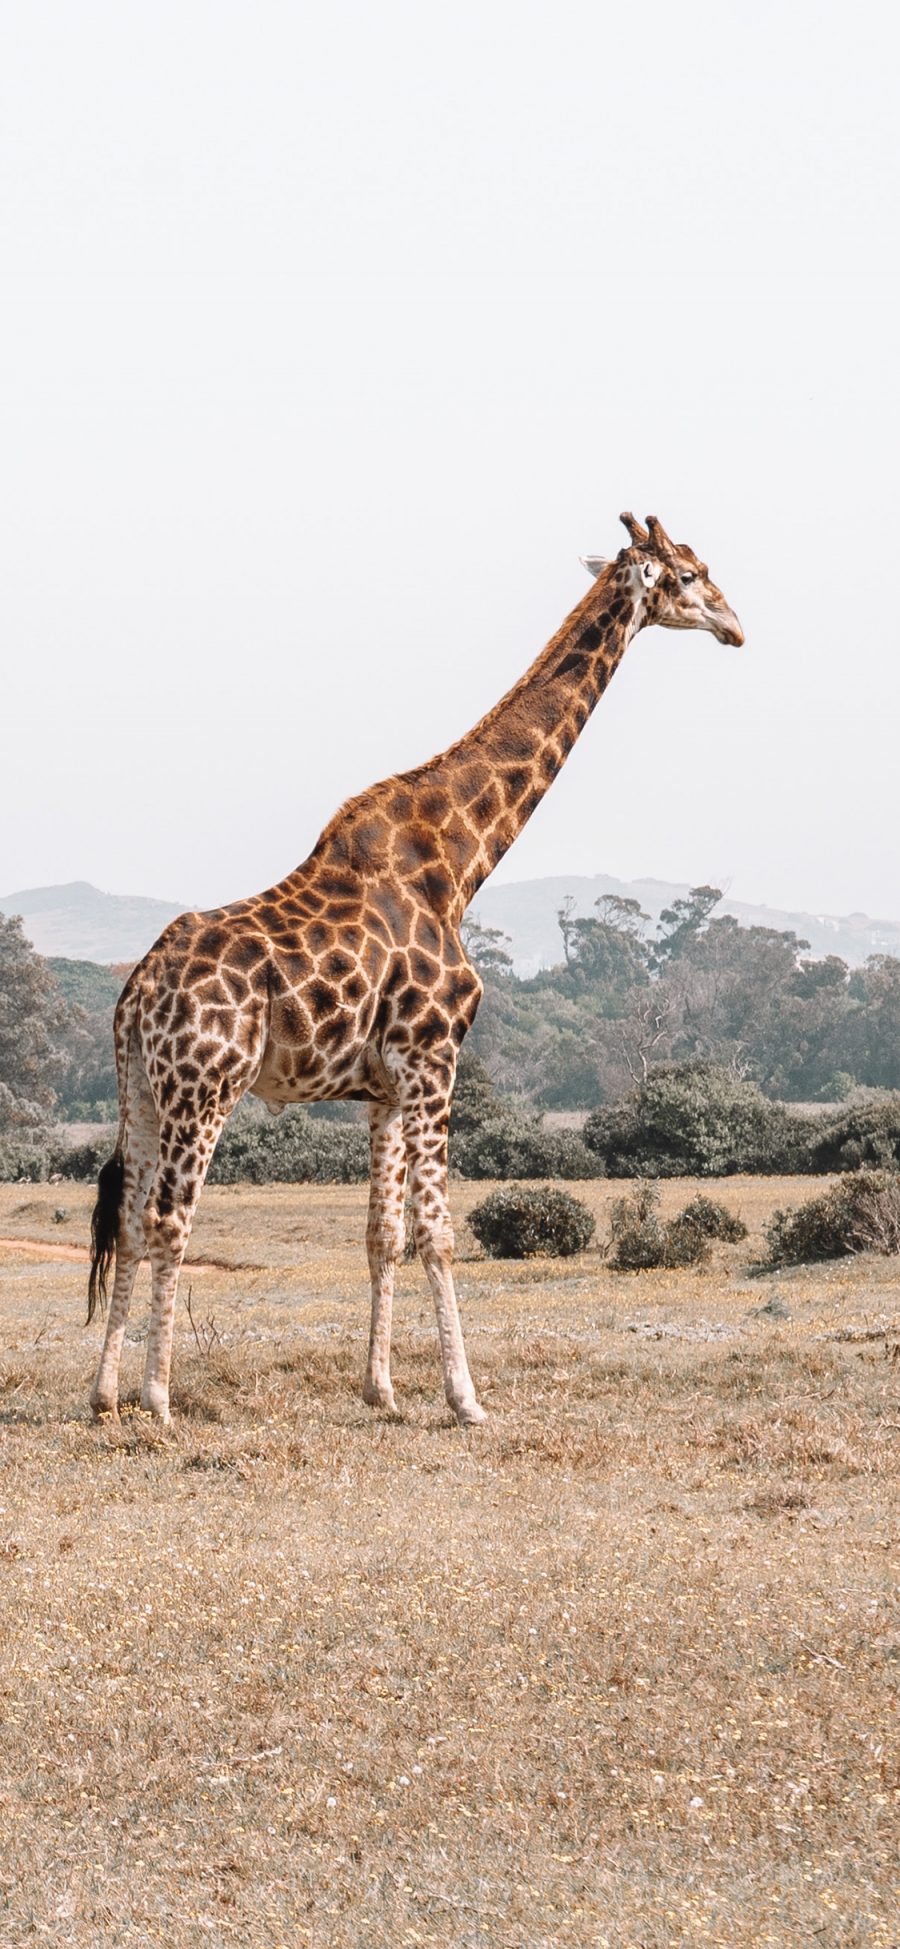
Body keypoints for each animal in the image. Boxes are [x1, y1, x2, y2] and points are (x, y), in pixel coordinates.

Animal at [87, 514, 740, 1434]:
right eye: (687, 574)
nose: (735, 625)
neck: (464, 860)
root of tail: (137, 990)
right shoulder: (435, 1057)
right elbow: (439, 1232)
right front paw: (465, 1397)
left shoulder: (387, 1085)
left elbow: (382, 1235)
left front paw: (382, 1389)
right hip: (204, 1086)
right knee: (167, 1218)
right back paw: (158, 1396)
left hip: (141, 1088)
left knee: (127, 1217)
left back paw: (106, 1392)